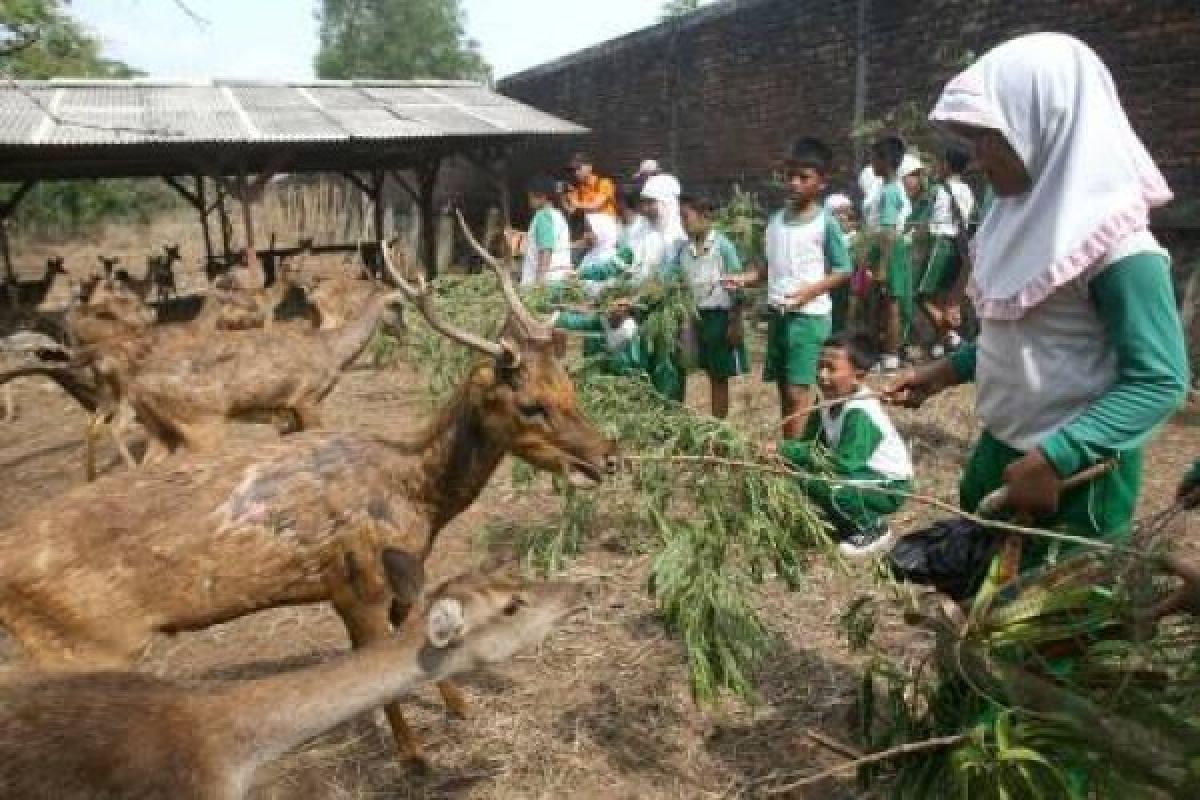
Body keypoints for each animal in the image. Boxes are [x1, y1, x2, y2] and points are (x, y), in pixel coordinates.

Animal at [0, 227, 614, 767]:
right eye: (531, 404)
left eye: (570, 385)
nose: (607, 457)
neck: (416, 497)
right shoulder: (355, 583)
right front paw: (415, 758)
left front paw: (459, 709)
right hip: (82, 644)